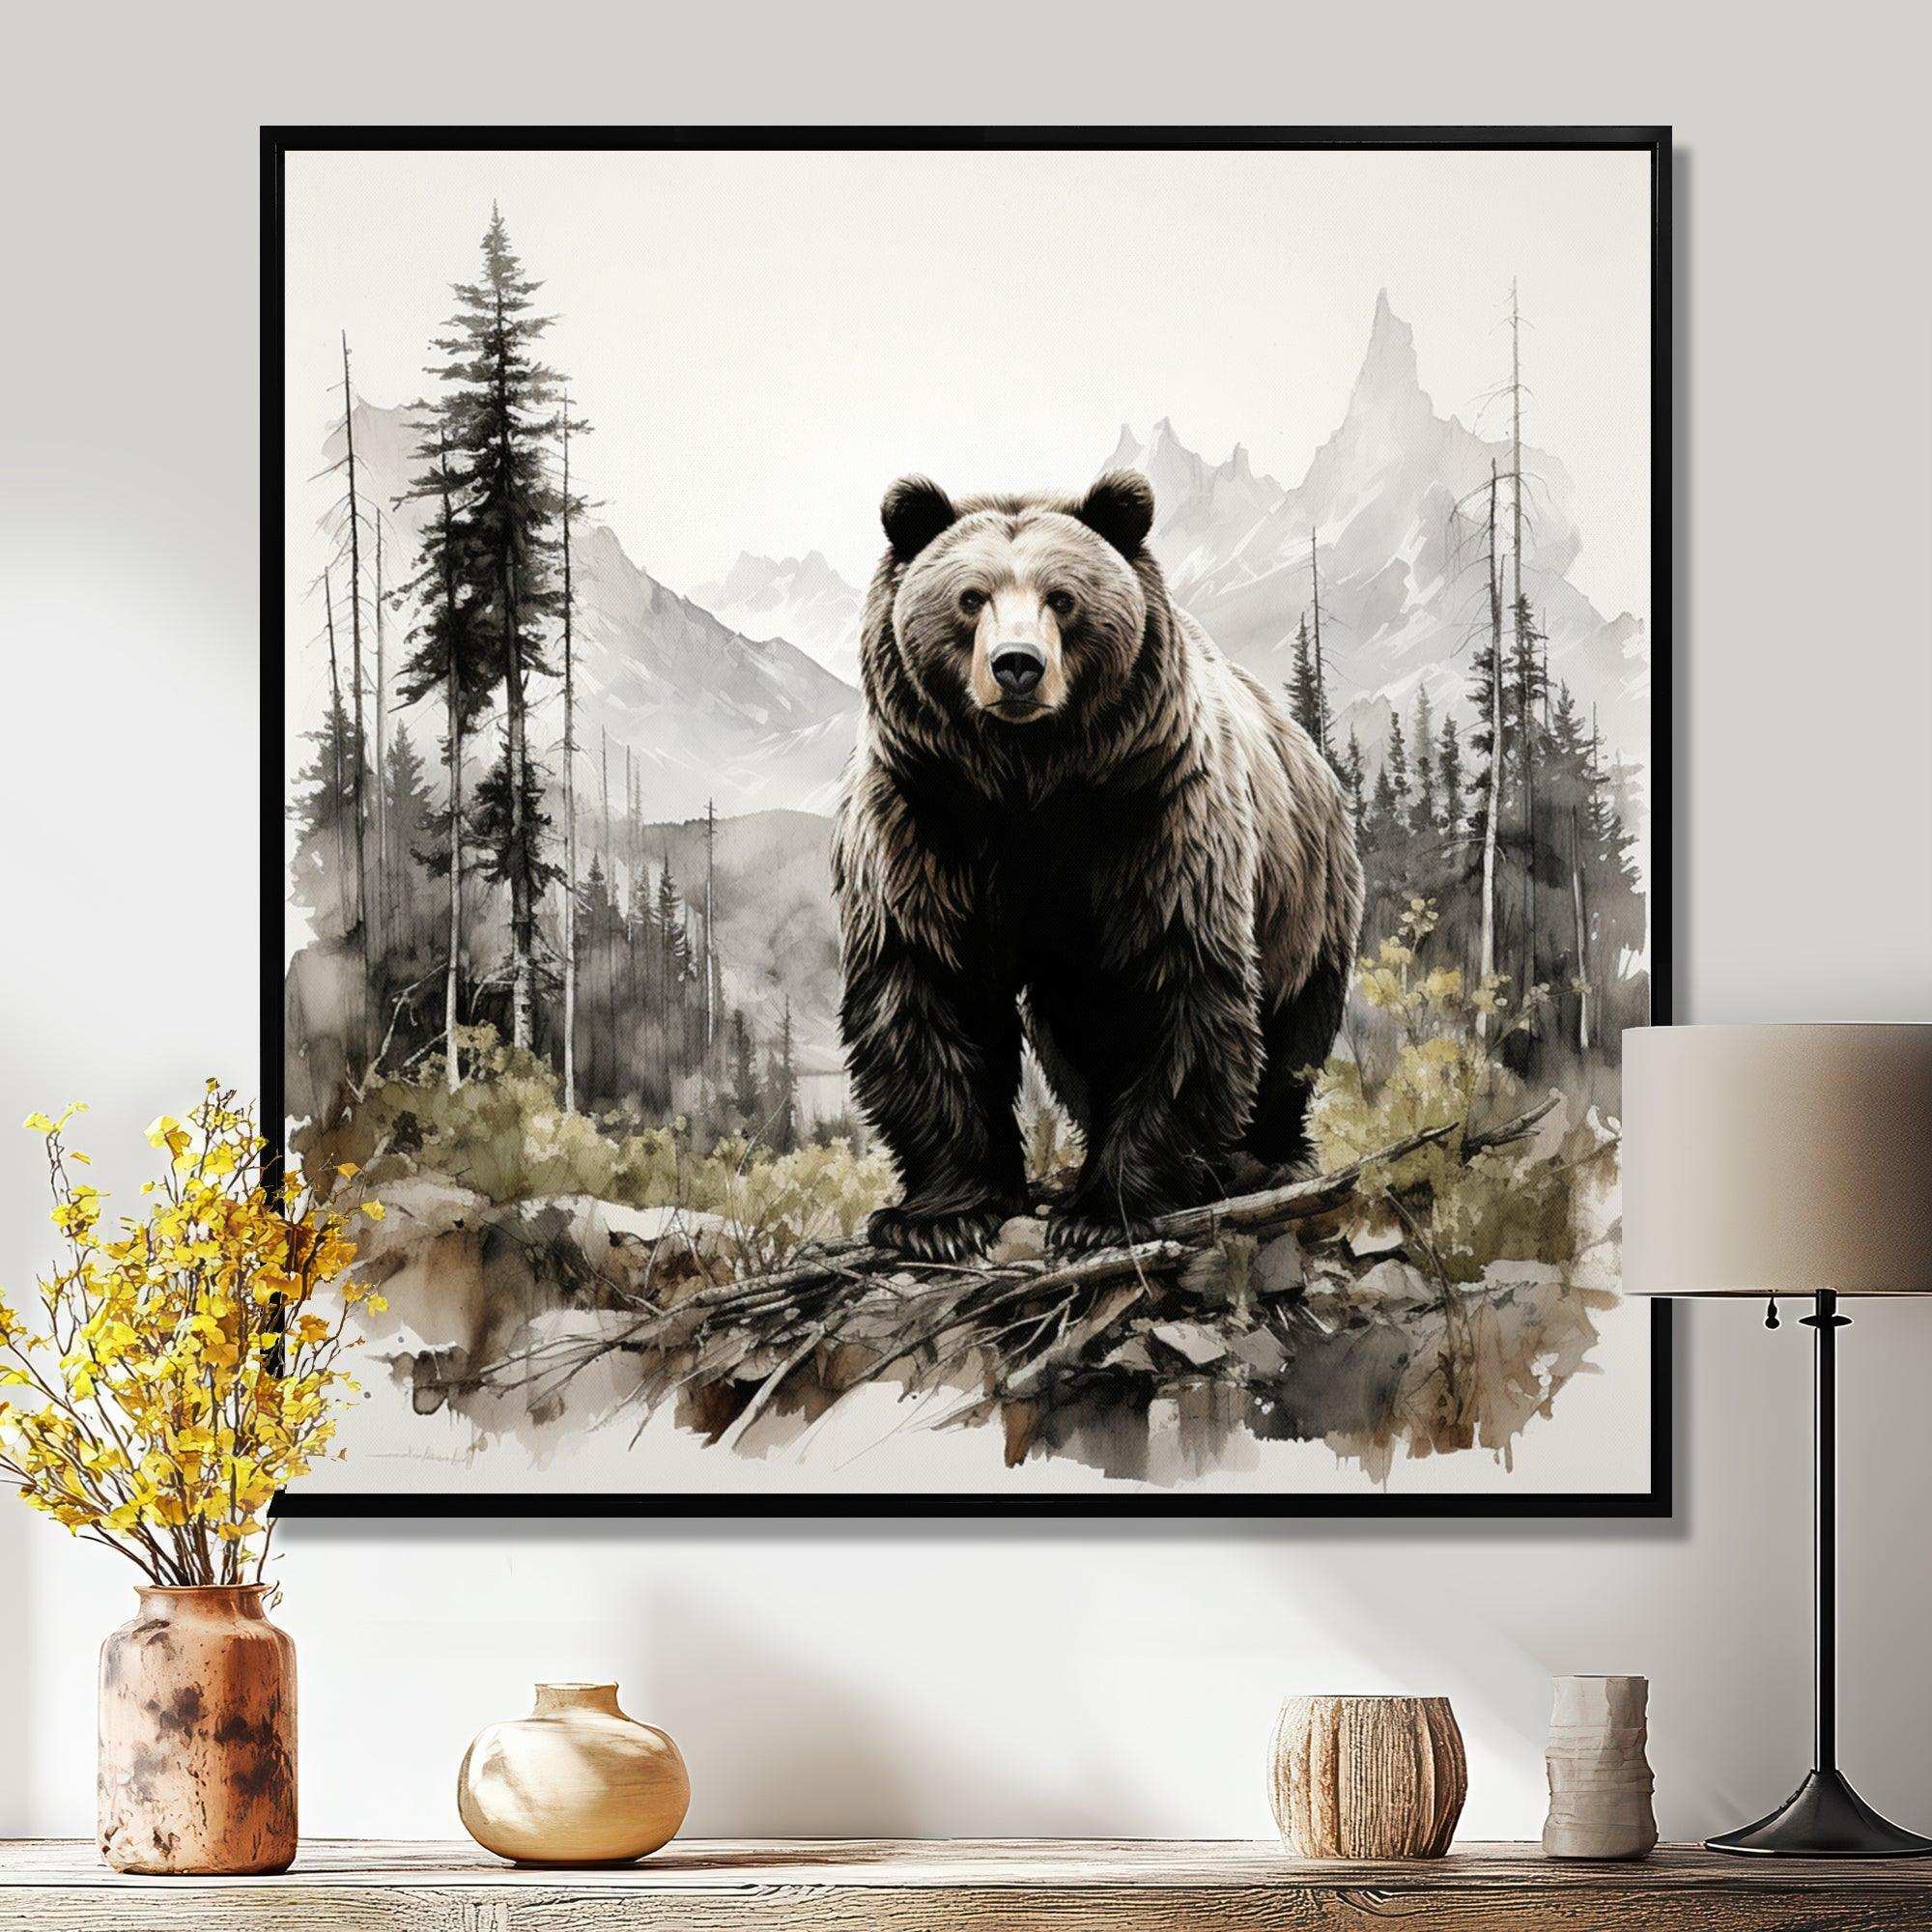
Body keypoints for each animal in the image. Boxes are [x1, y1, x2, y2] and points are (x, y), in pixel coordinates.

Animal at [831, 468, 1364, 1262]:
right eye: (970, 597)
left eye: (1063, 597)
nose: (1017, 665)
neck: (1029, 780)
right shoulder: (923, 819)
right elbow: (926, 984)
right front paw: (940, 1217)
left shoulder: (1154, 817)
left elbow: (1170, 986)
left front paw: (1104, 1209)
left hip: (1306, 889)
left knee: (1293, 1029)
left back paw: (1264, 1158)